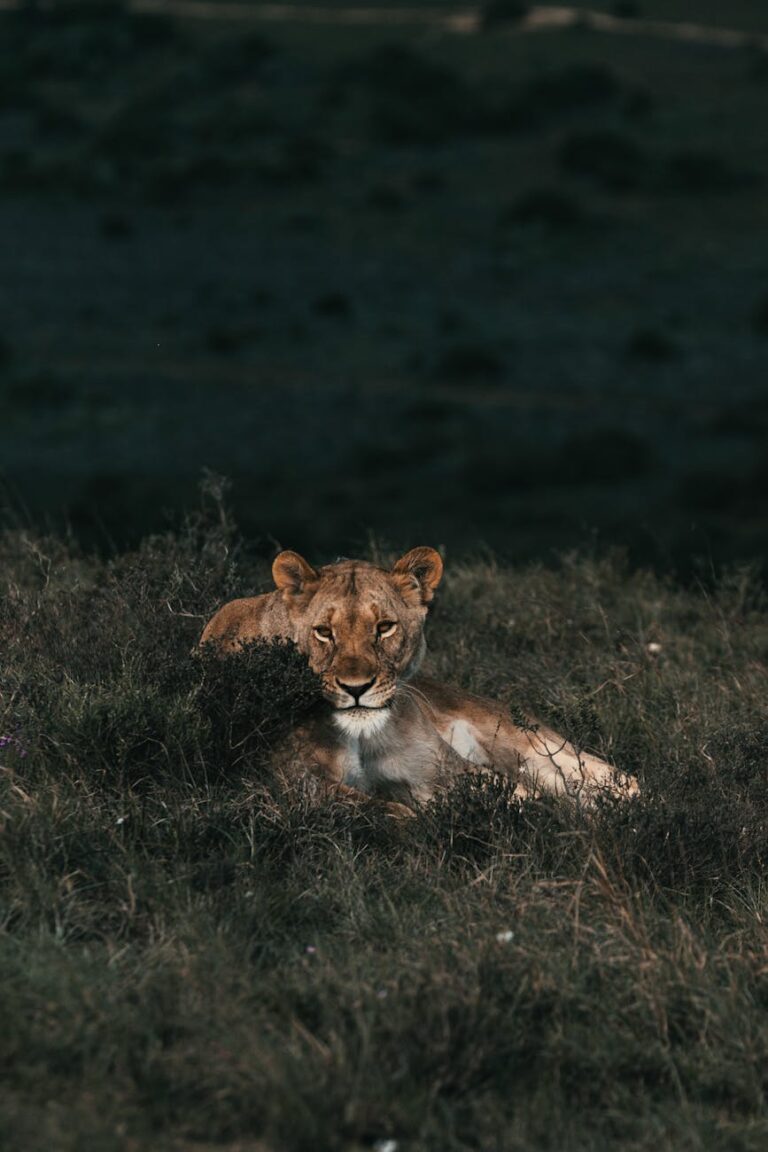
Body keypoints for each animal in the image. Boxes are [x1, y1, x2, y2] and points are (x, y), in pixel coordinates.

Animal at [199, 547, 638, 811]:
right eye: (324, 632)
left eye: (385, 627)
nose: (356, 689)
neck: (359, 735)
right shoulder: (298, 784)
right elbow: (390, 812)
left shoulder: (444, 773)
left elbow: (521, 801)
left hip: (534, 744)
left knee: (622, 783)